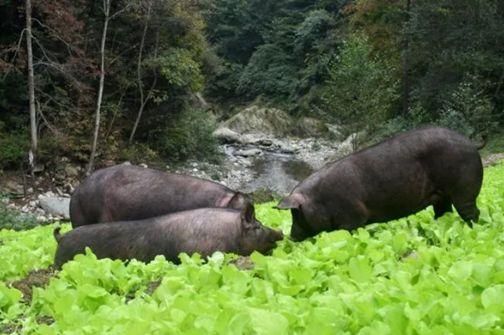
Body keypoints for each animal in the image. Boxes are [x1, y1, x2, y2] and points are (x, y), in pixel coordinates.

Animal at [276, 126, 484, 242]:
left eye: (296, 214)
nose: (291, 237)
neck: (320, 199)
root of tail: (471, 143)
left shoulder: (353, 216)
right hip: (441, 197)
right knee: (443, 214)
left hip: (464, 188)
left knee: (472, 212)